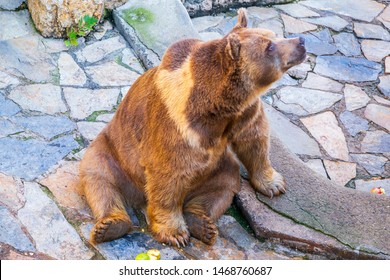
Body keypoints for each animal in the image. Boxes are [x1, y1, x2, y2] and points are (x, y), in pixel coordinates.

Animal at [79, 7, 304, 246]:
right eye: (269, 46)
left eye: (275, 34)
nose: (301, 41)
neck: (219, 107)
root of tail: (137, 196)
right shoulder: (177, 126)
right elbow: (168, 174)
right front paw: (174, 233)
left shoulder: (245, 113)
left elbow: (254, 142)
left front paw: (274, 184)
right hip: (111, 153)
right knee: (99, 179)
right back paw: (109, 226)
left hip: (217, 168)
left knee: (223, 186)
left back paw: (202, 223)